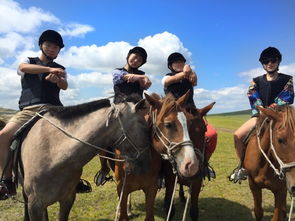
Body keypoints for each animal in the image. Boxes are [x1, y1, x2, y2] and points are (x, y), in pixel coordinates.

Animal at [112, 92, 200, 221]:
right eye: (168, 124)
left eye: (188, 124)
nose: (192, 164)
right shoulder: (121, 188)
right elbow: (123, 213)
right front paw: (121, 211)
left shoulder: (151, 188)